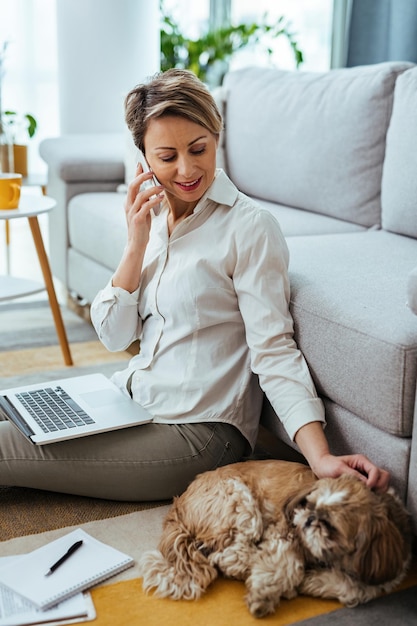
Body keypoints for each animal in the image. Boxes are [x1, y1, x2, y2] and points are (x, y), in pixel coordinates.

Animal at [138, 456, 412, 616]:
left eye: (331, 527)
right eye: (308, 504)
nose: (309, 519)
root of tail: (180, 503)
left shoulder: (384, 572)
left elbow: (355, 589)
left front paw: (312, 580)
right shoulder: (284, 533)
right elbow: (284, 565)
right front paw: (266, 594)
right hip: (240, 501)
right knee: (227, 555)